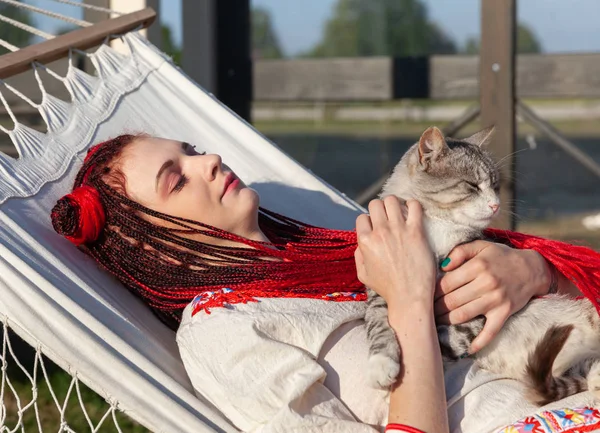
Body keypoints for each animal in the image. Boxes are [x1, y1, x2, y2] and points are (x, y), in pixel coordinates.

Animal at [366, 125, 600, 404]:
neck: (436, 224)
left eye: (496, 186)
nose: (496, 204)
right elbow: (376, 320)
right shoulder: (380, 284)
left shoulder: (478, 300)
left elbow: (448, 338)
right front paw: (381, 362)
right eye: (472, 185)